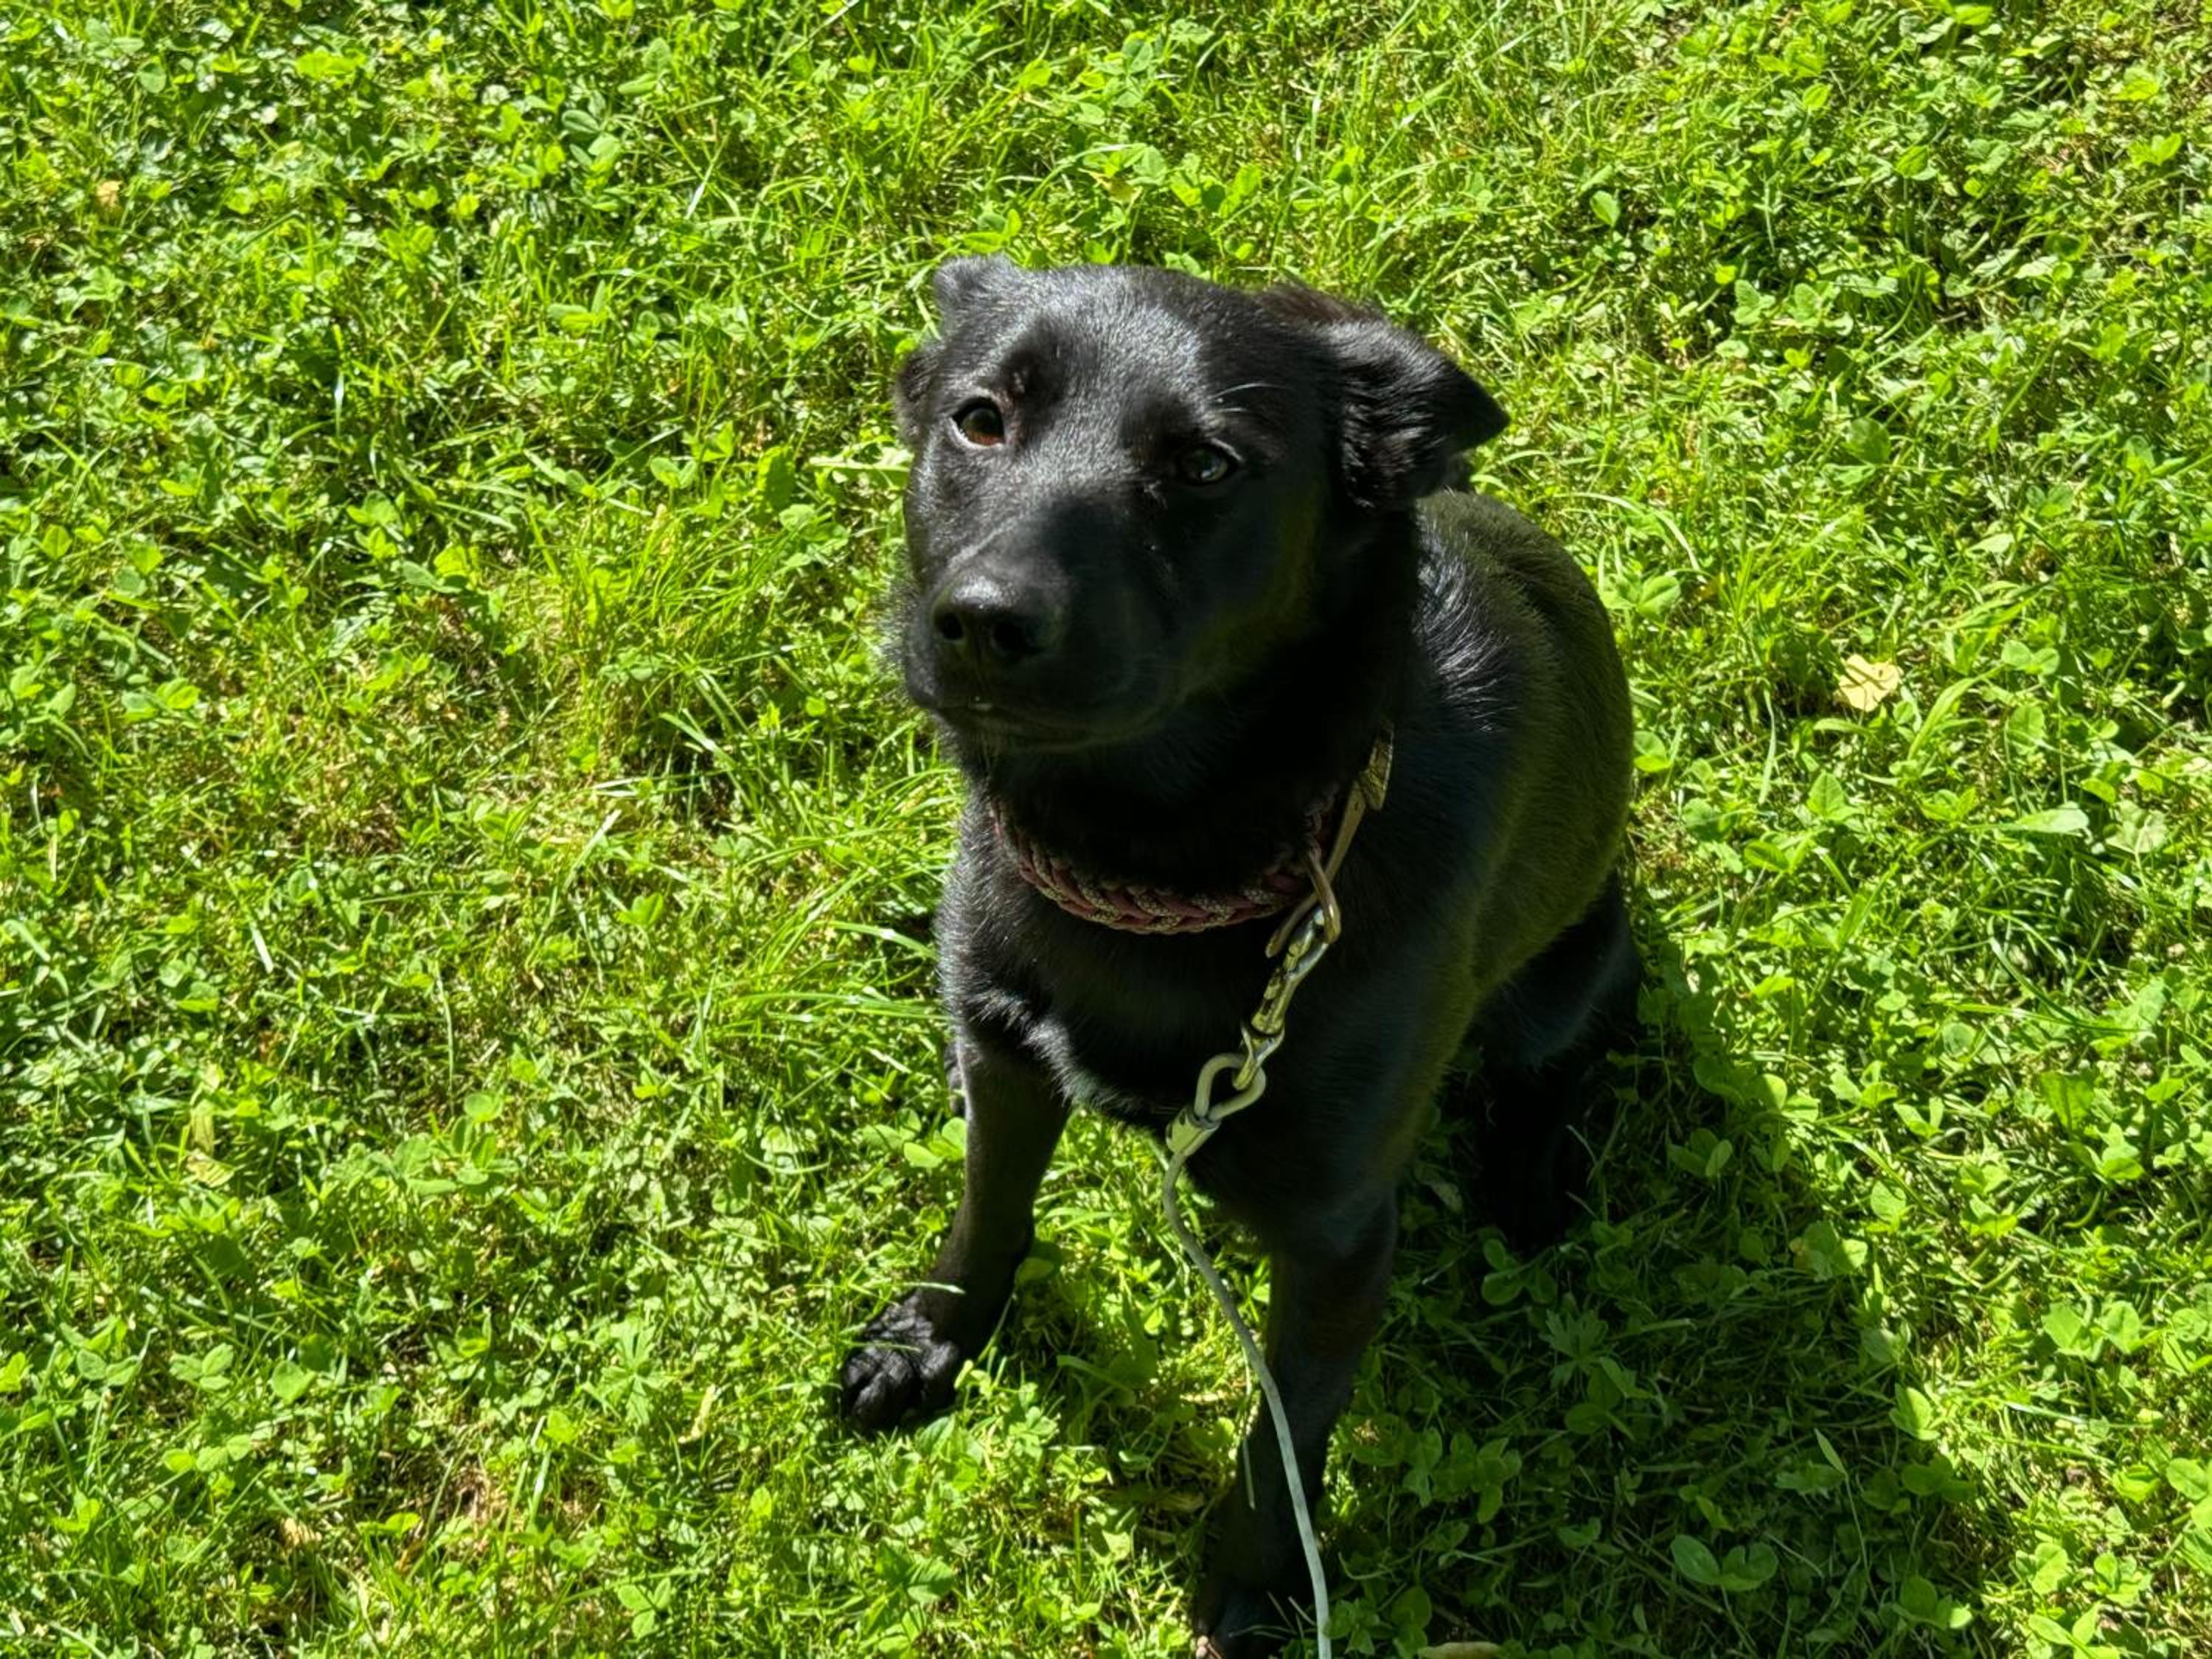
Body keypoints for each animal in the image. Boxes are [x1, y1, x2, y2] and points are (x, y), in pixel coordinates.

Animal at [840, 257, 1635, 1655]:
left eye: (1206, 465)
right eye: (980, 419)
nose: (983, 623)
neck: (1161, 877)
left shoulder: (1337, 1242)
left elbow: (1282, 1439)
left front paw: (1260, 1588)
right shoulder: (1001, 1060)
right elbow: (988, 1210)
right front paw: (932, 1338)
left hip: (1575, 959)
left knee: (1557, 1060)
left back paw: (1530, 1183)